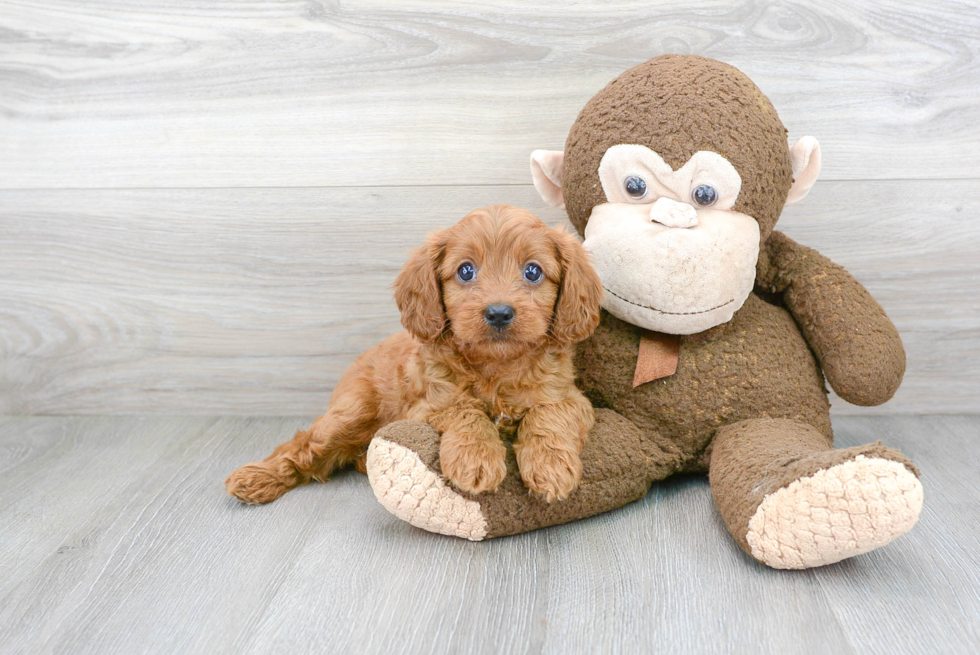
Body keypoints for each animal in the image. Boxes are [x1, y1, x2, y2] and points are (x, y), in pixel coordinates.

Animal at [226, 205, 600, 502]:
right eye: (466, 270)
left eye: (533, 271)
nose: (498, 313)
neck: (496, 367)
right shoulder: (425, 407)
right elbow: (466, 411)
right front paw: (474, 459)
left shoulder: (570, 399)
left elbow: (548, 416)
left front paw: (551, 467)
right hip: (352, 412)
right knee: (303, 445)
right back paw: (256, 478)